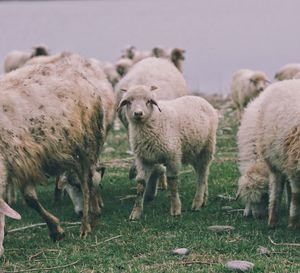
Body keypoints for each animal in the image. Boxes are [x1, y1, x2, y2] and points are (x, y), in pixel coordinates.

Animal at [0, 52, 113, 255]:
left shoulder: (26, 158)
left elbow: (30, 199)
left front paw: (56, 230)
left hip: (85, 144)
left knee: (87, 183)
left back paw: (86, 224)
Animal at [116, 86, 218, 220]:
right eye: (128, 102)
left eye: (148, 101)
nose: (138, 113)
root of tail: (200, 99)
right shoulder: (143, 159)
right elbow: (141, 184)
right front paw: (136, 212)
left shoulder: (172, 156)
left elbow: (172, 182)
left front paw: (175, 209)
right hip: (194, 151)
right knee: (203, 174)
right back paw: (204, 200)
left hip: (206, 149)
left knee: (201, 175)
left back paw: (197, 203)